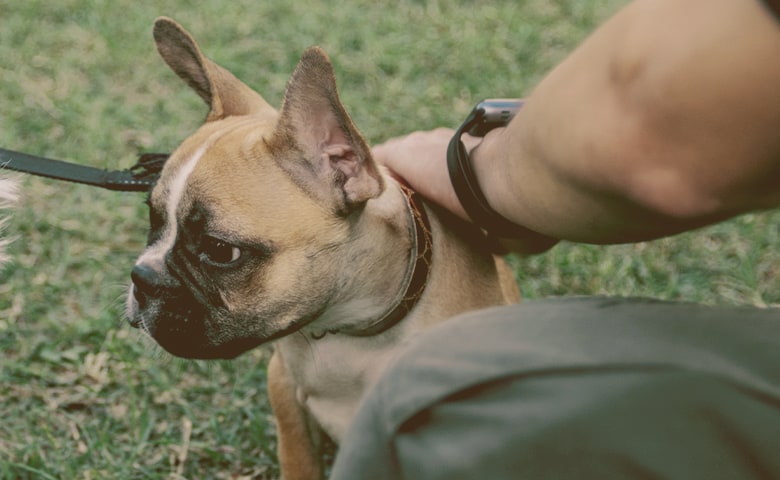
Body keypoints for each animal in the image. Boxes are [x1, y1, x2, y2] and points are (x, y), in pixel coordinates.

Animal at [126, 17, 516, 480]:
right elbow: (298, 458)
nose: (141, 277)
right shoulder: (285, 390)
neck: (349, 329)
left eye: (220, 251)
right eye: (154, 219)